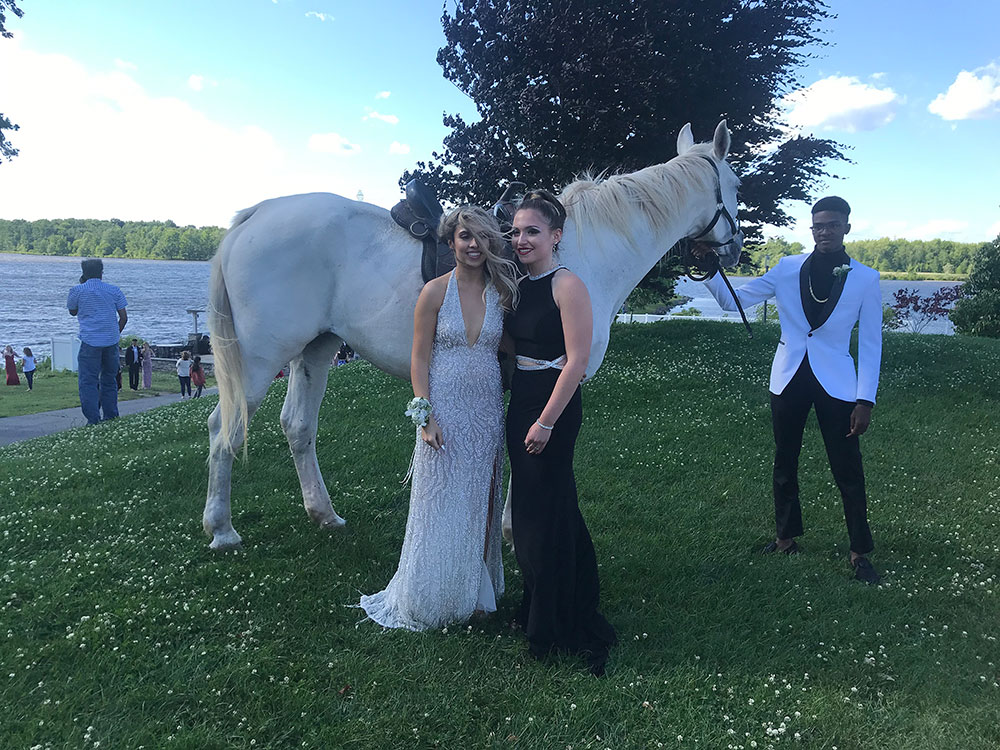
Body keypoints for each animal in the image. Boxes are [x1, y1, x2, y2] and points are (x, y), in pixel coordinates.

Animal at [203, 120, 744, 548]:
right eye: (737, 184)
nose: (736, 249)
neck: (579, 250)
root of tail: (257, 213)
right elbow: (533, 444)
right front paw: (514, 533)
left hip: (316, 349)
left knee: (297, 426)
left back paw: (324, 514)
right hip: (260, 358)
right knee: (223, 427)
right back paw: (221, 529)